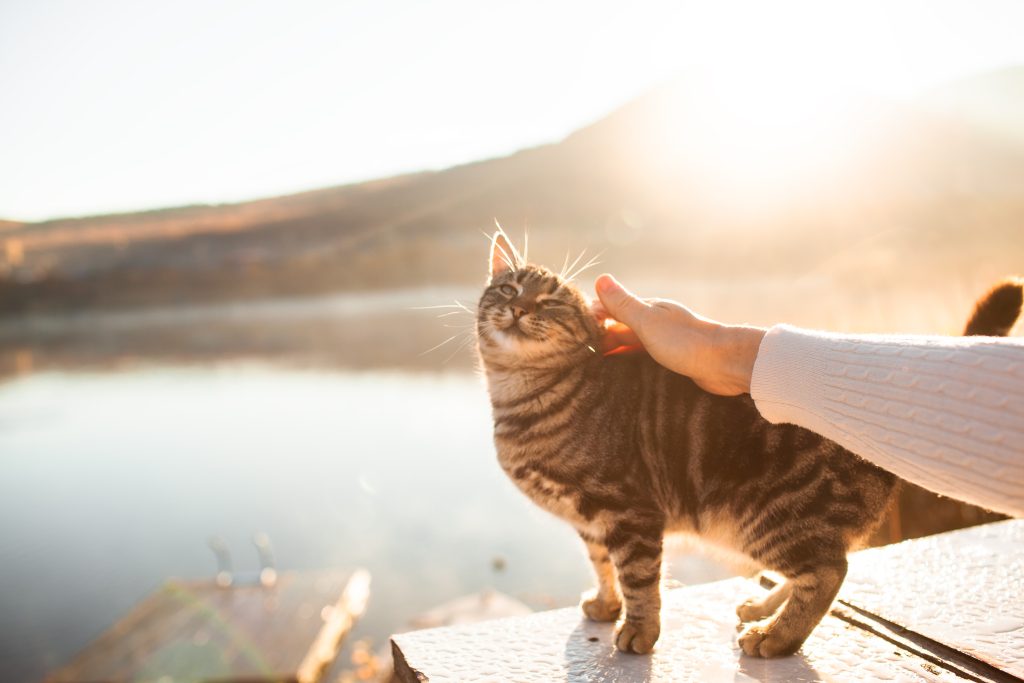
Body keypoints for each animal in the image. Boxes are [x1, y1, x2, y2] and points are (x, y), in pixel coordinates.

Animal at [475, 232, 1019, 659]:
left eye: (551, 302)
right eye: (507, 287)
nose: (518, 307)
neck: (519, 396)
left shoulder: (628, 511)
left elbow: (639, 577)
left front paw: (638, 630)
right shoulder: (590, 521)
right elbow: (604, 565)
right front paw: (606, 605)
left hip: (763, 516)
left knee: (829, 570)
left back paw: (776, 637)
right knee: (820, 565)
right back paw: (762, 606)